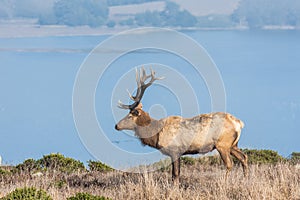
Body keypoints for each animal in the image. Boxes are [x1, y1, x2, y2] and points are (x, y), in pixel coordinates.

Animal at [113, 67, 247, 184]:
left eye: (130, 115)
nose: (116, 126)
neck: (156, 134)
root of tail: (239, 123)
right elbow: (175, 174)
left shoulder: (175, 150)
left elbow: (175, 174)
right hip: (233, 145)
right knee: (244, 157)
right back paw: (245, 180)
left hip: (222, 144)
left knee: (229, 164)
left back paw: (225, 183)